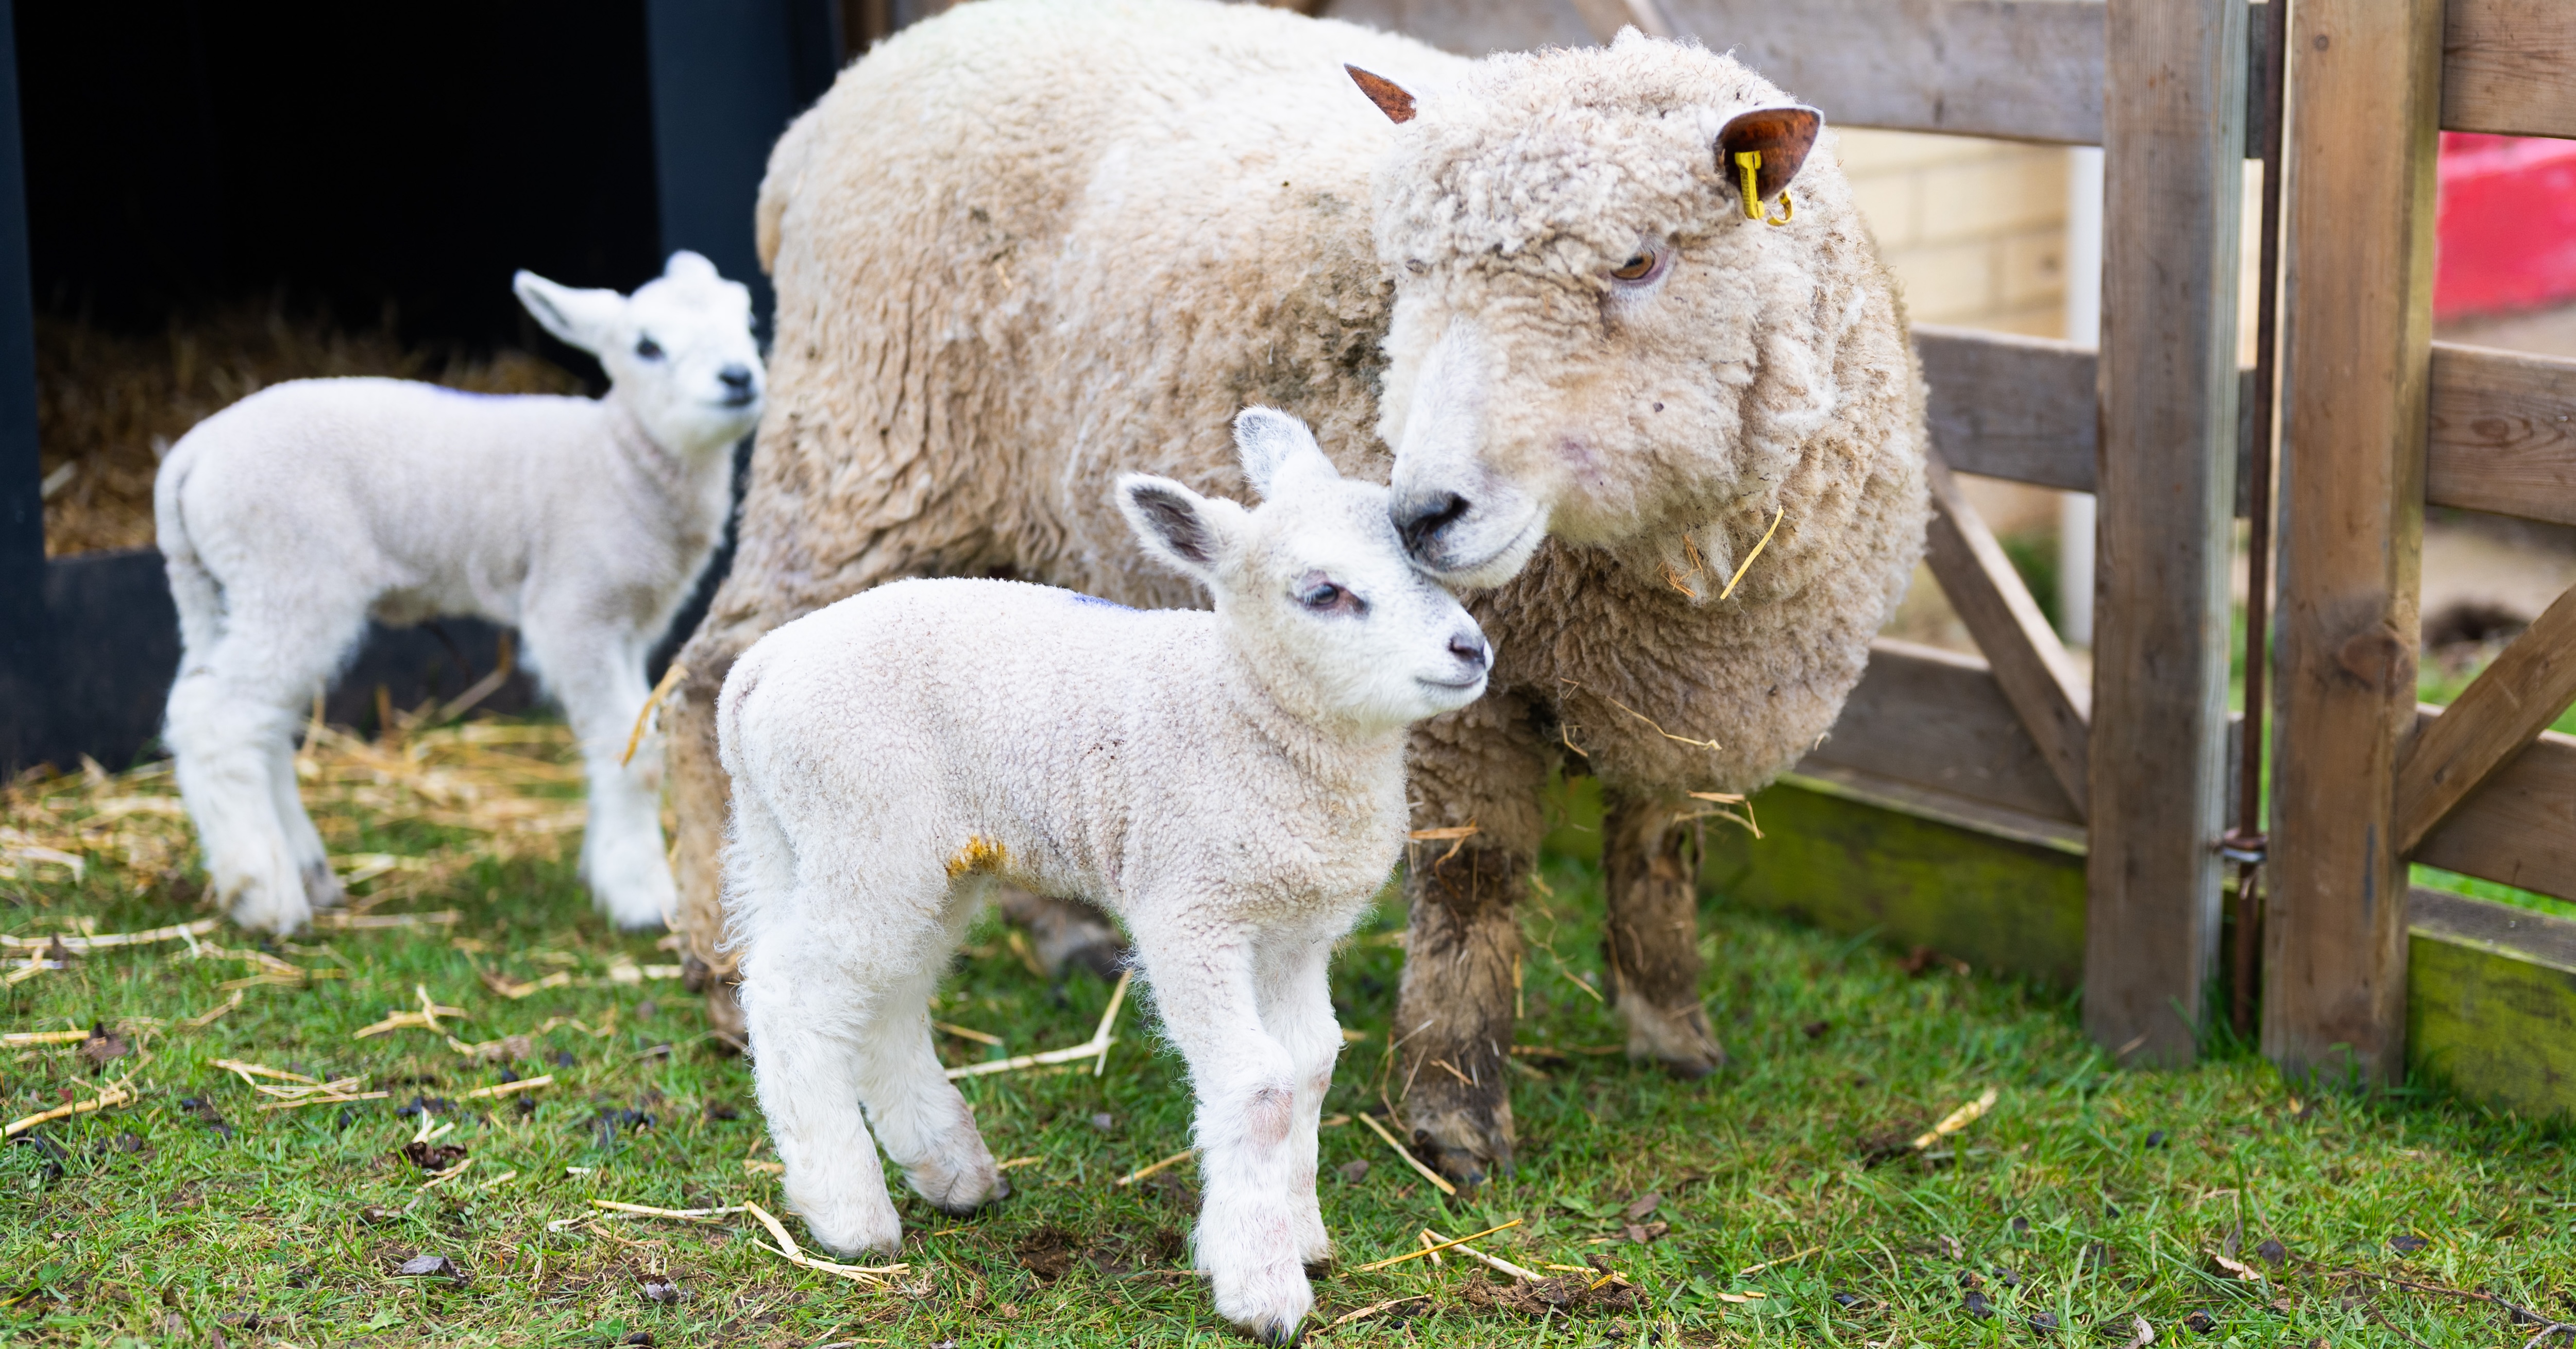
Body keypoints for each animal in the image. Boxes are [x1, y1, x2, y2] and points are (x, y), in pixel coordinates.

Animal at [155, 251, 765, 935]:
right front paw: (641, 896)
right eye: (647, 347)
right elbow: (630, 753)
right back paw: (263, 895)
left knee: (246, 715)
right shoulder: (574, 607)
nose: (737, 377)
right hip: (288, 573)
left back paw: (308, 873)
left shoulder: (629, 624)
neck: (621, 456)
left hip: (223, 588)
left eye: (746, 319)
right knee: (218, 718)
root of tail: (188, 460)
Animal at [668, 0, 1928, 1186]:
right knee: (705, 678)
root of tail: (825, 116)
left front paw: (1673, 1033)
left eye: (1639, 263)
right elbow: (1473, 876)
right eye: (1407, 271)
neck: (1666, 563)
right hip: (863, 455)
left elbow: (1663, 849)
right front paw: (1453, 1108)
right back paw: (721, 966)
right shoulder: (1467, 706)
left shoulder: (1700, 696)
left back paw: (1056, 932)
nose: (1423, 512)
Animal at [721, 408, 1489, 1341]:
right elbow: (1258, 1082)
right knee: (792, 995)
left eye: (1427, 559)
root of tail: (760, 669)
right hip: (866, 829)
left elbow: (1310, 1063)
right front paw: (1260, 1284)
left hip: (866, 850)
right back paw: (850, 1215)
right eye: (1324, 592)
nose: (1470, 649)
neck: (1245, 707)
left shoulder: (1294, 930)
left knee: (883, 998)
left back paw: (952, 1170)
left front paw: (1301, 1235)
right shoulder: (1190, 909)